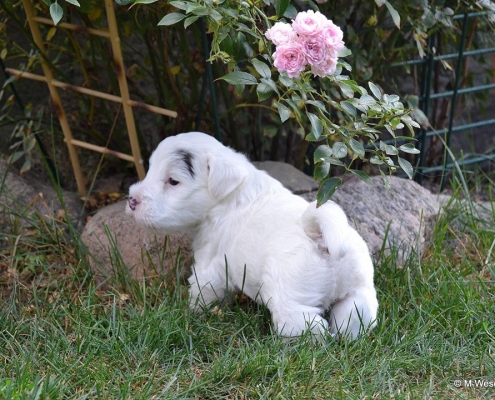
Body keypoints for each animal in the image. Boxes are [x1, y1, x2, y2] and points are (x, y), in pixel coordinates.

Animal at [126, 131, 378, 338]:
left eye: (173, 181)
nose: (131, 200)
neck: (231, 196)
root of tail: (319, 234)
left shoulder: (210, 267)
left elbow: (203, 291)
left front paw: (195, 313)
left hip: (291, 298)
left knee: (306, 325)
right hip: (357, 294)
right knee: (353, 317)